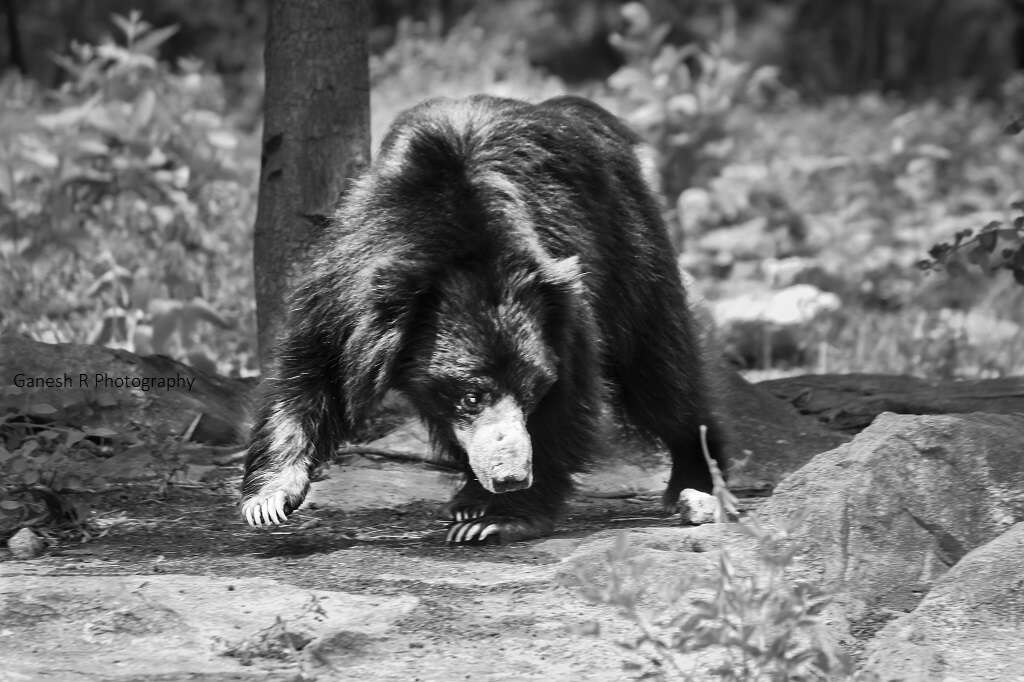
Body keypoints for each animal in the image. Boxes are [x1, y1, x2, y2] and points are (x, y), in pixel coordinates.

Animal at [240, 94, 724, 540]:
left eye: (532, 390)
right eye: (472, 396)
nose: (511, 477)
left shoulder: (565, 310)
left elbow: (567, 398)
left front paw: (502, 519)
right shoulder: (346, 287)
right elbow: (314, 368)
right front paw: (268, 500)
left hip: (631, 246)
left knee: (660, 369)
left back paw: (696, 487)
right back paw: (469, 498)